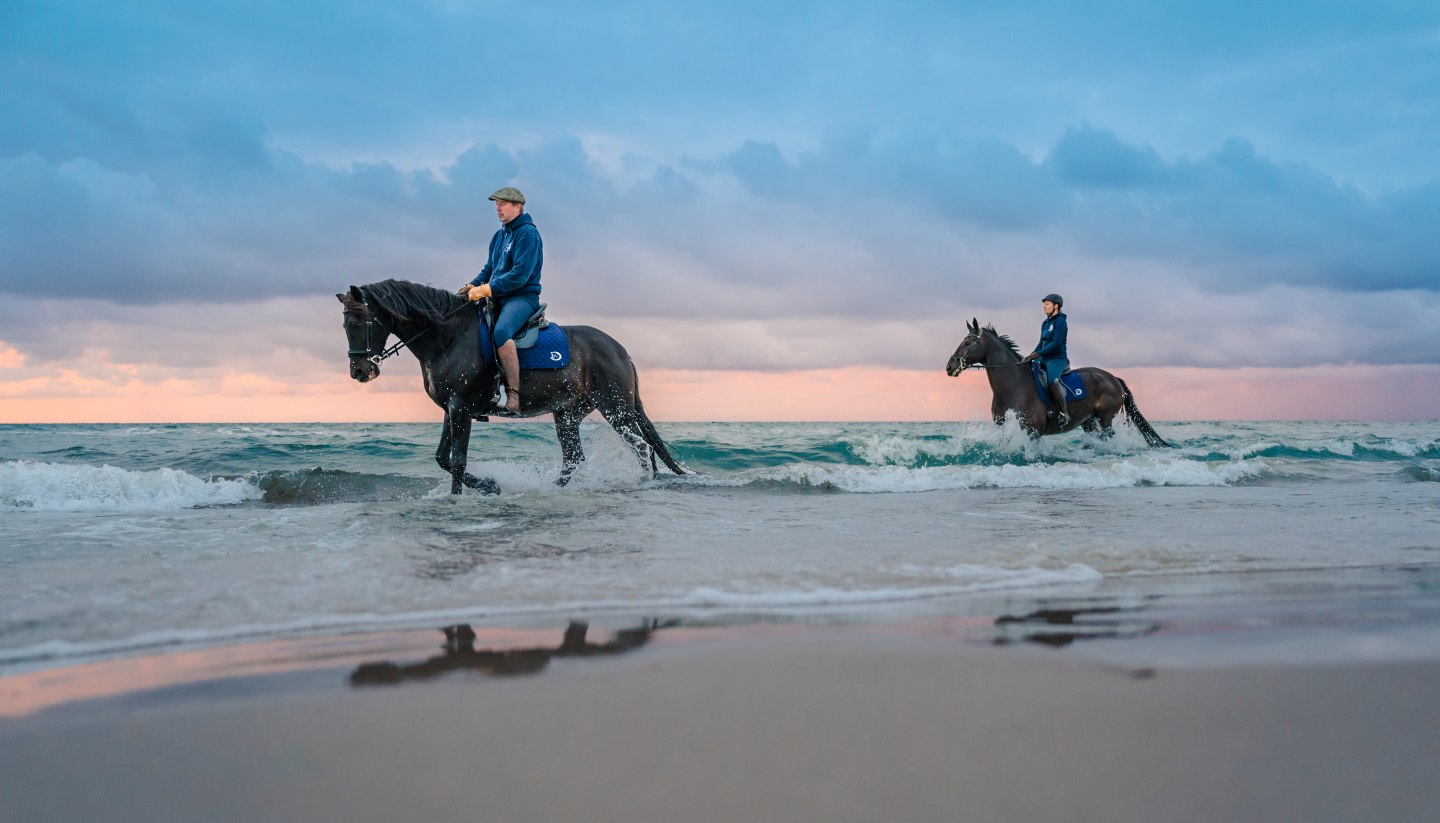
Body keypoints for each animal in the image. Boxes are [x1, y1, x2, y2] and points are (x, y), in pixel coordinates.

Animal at [339, 279, 694, 492]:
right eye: (344, 325)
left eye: (359, 323)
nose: (360, 371)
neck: (448, 338)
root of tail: (620, 350)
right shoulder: (451, 410)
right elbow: (443, 458)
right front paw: (489, 486)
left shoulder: (461, 409)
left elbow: (457, 460)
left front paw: (463, 496)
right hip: (568, 415)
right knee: (574, 457)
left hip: (615, 409)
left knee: (641, 447)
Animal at [944, 317, 1169, 446]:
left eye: (968, 343)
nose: (949, 367)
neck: (1013, 386)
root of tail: (1114, 378)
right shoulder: (1002, 426)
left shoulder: (1032, 431)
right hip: (1088, 421)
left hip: (1105, 419)